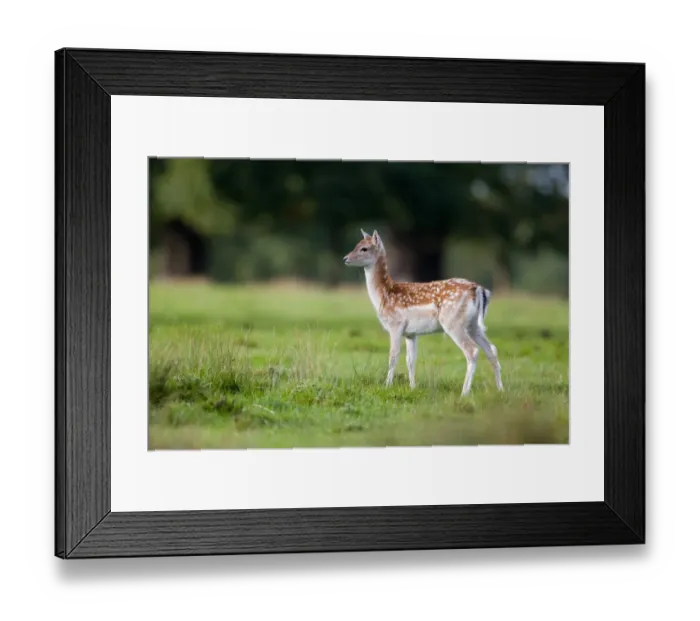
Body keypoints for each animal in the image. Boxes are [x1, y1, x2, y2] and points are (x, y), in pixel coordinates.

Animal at [343, 229, 503, 396]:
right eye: (356, 244)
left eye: (364, 248)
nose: (345, 258)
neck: (384, 295)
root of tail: (479, 290)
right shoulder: (411, 333)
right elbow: (410, 359)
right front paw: (413, 387)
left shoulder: (395, 324)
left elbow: (393, 355)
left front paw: (387, 386)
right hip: (473, 325)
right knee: (491, 349)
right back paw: (500, 389)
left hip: (453, 322)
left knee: (472, 350)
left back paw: (464, 393)